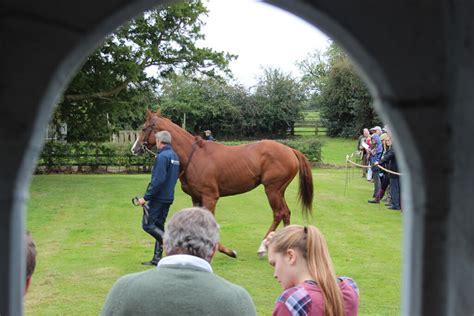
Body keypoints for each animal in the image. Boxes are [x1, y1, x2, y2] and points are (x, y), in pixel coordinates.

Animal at [131, 110, 312, 258]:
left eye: (144, 128)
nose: (134, 149)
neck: (194, 156)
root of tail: (290, 150)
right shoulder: (196, 198)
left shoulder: (210, 197)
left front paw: (224, 250)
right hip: (279, 191)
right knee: (286, 213)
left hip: (272, 190)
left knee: (278, 213)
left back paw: (263, 247)